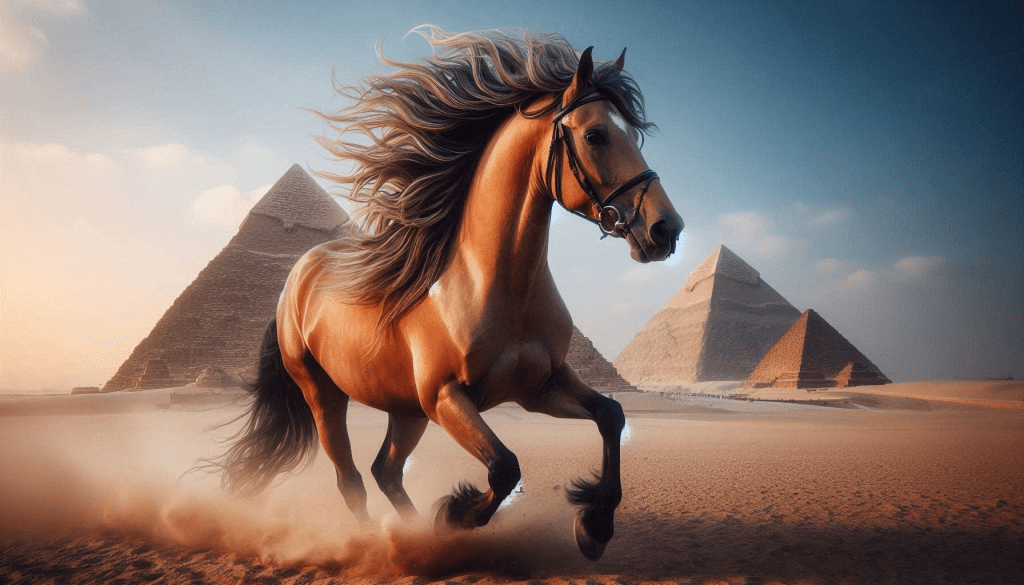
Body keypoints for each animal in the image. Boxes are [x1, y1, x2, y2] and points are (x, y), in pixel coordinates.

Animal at [215, 27, 684, 561]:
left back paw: (413, 535)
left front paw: (594, 525)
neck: (495, 283)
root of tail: (296, 277)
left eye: (636, 135)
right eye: (595, 135)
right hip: (324, 395)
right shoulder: (447, 398)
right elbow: (504, 467)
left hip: (404, 409)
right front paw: (455, 514)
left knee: (385, 471)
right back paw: (382, 543)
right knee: (351, 478)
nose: (665, 229)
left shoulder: (540, 386)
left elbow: (612, 414)